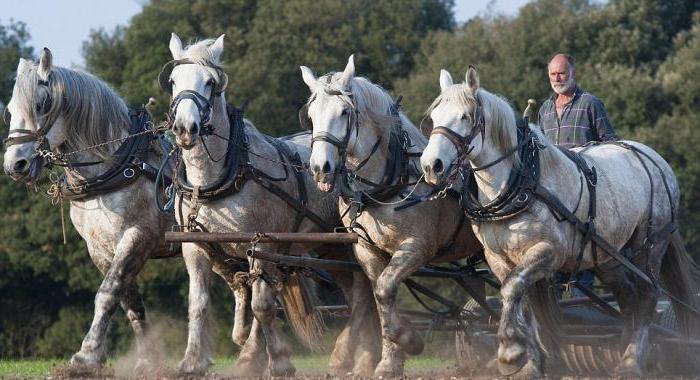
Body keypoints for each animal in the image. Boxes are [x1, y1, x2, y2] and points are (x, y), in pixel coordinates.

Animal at [166, 35, 380, 378]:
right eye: (173, 81)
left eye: (210, 83)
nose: (186, 128)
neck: (217, 180)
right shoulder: (196, 248)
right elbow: (198, 304)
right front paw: (192, 362)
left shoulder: (262, 244)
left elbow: (263, 306)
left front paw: (279, 360)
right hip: (327, 248)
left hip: (343, 244)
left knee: (361, 291)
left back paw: (350, 355)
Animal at [298, 55, 484, 376]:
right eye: (311, 115)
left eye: (345, 112)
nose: (320, 168)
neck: (389, 183)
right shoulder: (367, 251)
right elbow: (382, 299)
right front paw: (389, 361)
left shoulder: (416, 247)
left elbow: (385, 291)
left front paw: (409, 340)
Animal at [422, 67, 700, 378]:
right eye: (434, 117)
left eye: (465, 117)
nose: (431, 165)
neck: (522, 182)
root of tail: (655, 159)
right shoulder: (498, 257)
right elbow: (522, 301)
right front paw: (531, 362)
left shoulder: (548, 251)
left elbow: (512, 290)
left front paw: (509, 352)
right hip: (607, 256)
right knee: (628, 296)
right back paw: (626, 353)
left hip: (649, 245)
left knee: (647, 295)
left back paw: (631, 361)